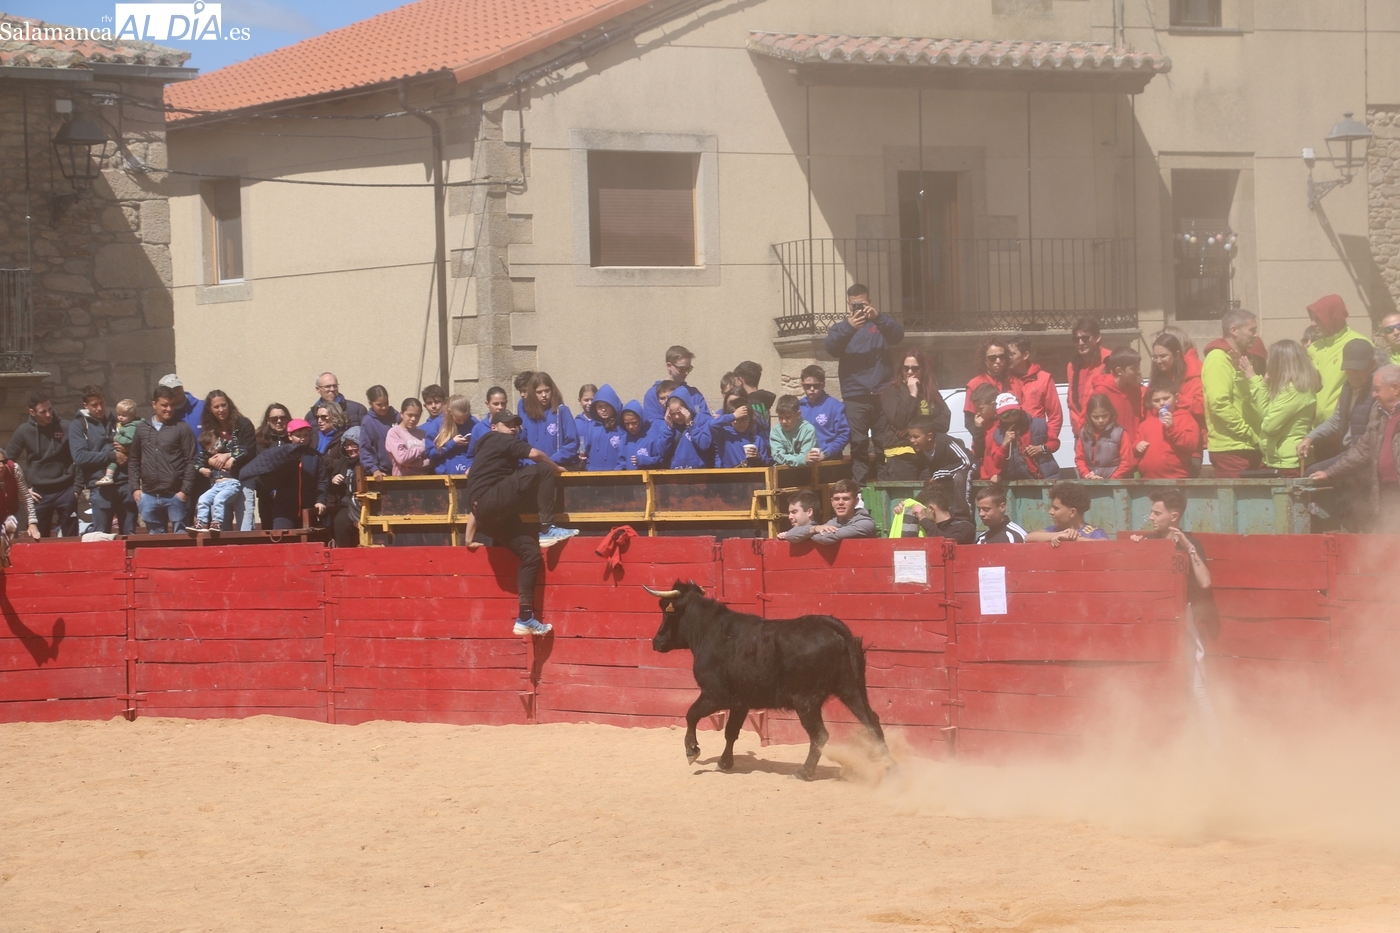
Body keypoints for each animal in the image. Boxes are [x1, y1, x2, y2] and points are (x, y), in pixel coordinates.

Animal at [646, 580, 889, 780]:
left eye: (667, 613)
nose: (656, 642)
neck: (709, 630)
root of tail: (834, 629)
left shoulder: (715, 695)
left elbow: (691, 714)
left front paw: (692, 751)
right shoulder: (740, 702)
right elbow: (730, 731)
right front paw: (724, 763)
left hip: (806, 701)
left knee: (820, 734)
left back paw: (804, 772)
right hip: (850, 688)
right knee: (871, 720)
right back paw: (890, 766)